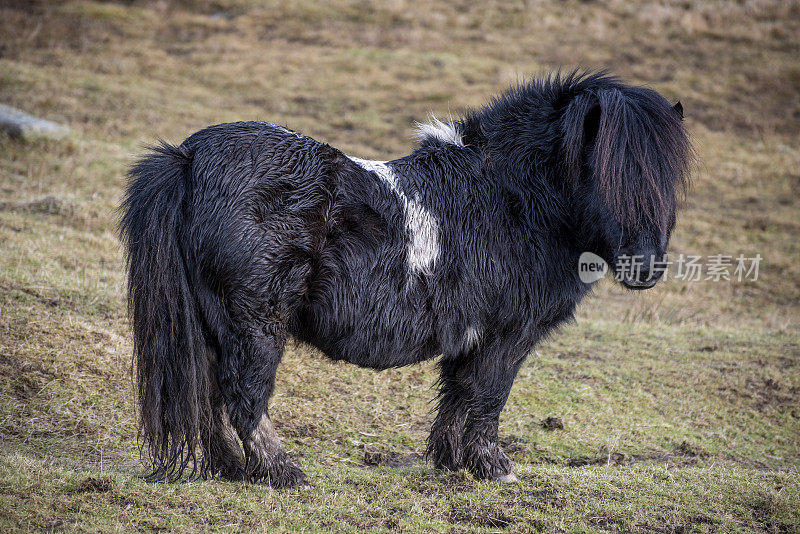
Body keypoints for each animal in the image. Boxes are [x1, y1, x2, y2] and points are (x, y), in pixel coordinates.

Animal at [122, 71, 692, 490]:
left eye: (667, 183)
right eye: (610, 178)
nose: (645, 268)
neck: (512, 198)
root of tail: (189, 157)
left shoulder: (473, 337)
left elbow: (459, 395)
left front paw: (452, 462)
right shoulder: (507, 335)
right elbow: (489, 396)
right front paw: (494, 468)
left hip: (212, 323)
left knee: (210, 399)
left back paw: (230, 469)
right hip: (256, 321)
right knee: (244, 395)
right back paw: (283, 473)